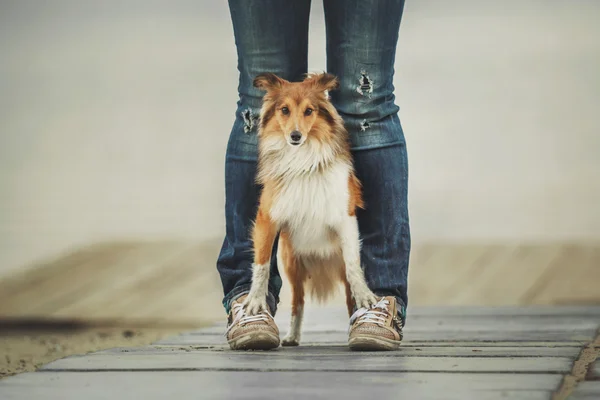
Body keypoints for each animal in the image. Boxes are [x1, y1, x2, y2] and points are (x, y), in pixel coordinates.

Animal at [243, 72, 376, 346]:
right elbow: (261, 265)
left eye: (309, 111)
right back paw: (292, 336)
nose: (295, 136)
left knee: (348, 295)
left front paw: (365, 295)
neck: (302, 158)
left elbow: (354, 265)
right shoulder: (267, 218)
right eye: (284, 110)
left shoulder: (345, 217)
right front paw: (255, 301)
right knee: (298, 300)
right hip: (292, 262)